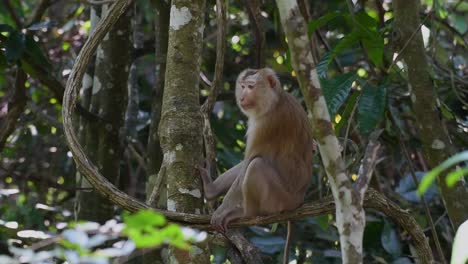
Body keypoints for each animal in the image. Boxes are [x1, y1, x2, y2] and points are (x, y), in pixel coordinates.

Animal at [199, 67, 312, 262]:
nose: (242, 97)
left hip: (279, 199)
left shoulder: (267, 124)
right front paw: (211, 191)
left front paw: (221, 210)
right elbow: (245, 163)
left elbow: (250, 161)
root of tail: (298, 201)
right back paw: (211, 190)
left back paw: (247, 213)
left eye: (251, 87)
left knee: (256, 166)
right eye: (243, 86)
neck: (275, 101)